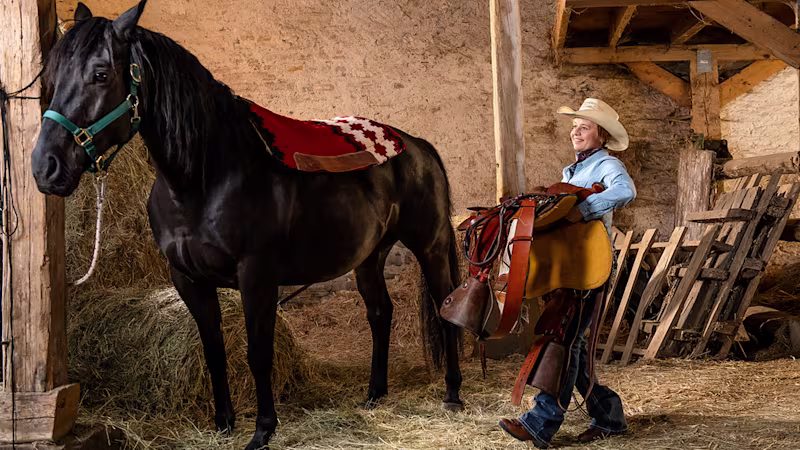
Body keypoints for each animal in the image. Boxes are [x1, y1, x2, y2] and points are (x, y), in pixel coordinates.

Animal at [30, 1, 463, 448]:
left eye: (101, 74)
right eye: (53, 76)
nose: (46, 167)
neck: (205, 177)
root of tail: (418, 146)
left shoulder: (256, 276)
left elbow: (258, 353)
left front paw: (262, 431)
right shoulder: (189, 279)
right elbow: (214, 352)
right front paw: (223, 423)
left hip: (429, 246)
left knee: (444, 305)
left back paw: (452, 394)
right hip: (370, 256)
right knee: (380, 313)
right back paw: (375, 395)